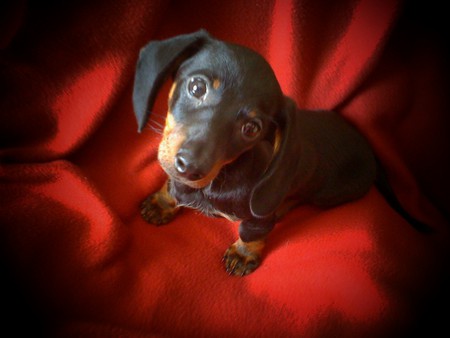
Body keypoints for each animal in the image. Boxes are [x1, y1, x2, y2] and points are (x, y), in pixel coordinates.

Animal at [133, 30, 428, 276]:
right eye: (197, 87)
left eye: (251, 129)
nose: (191, 167)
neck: (221, 177)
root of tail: (371, 151)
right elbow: (173, 189)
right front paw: (164, 201)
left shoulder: (258, 217)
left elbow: (252, 234)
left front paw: (244, 254)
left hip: (329, 194)